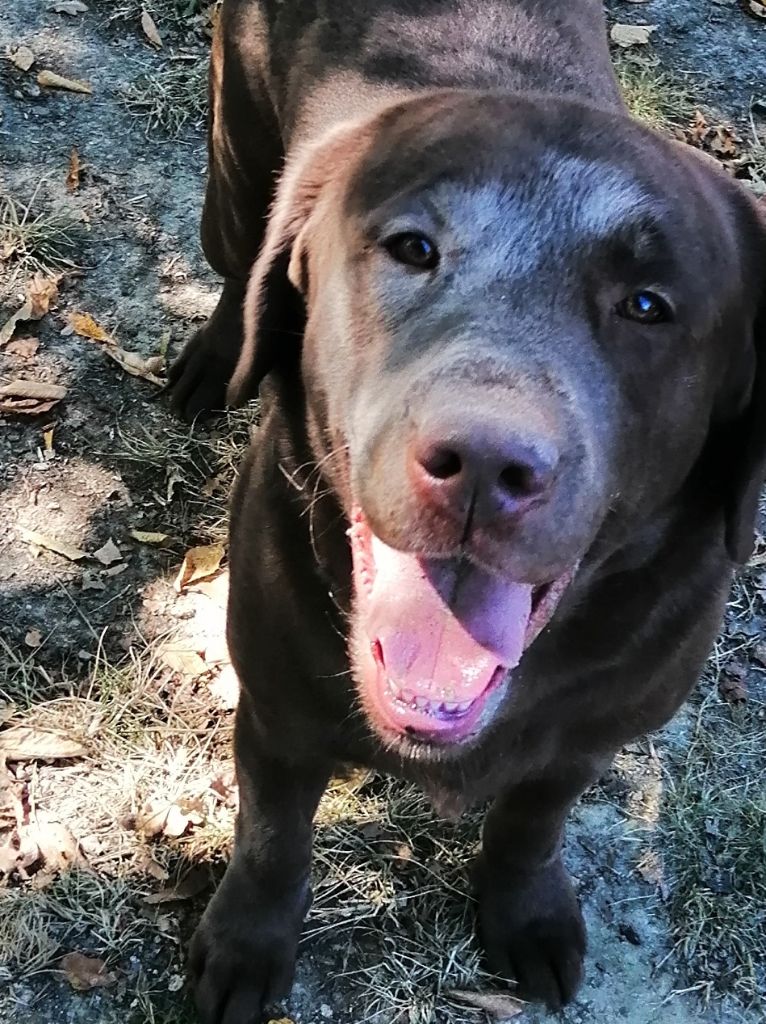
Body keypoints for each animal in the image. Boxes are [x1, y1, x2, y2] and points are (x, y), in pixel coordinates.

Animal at [167, 4, 766, 1019]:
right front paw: (247, 947)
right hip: (234, 166)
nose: (485, 463)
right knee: (238, 265)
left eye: (648, 305)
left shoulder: (588, 738)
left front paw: (526, 914)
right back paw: (215, 359)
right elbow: (273, 841)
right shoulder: (277, 710)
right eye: (413, 247)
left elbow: (531, 824)